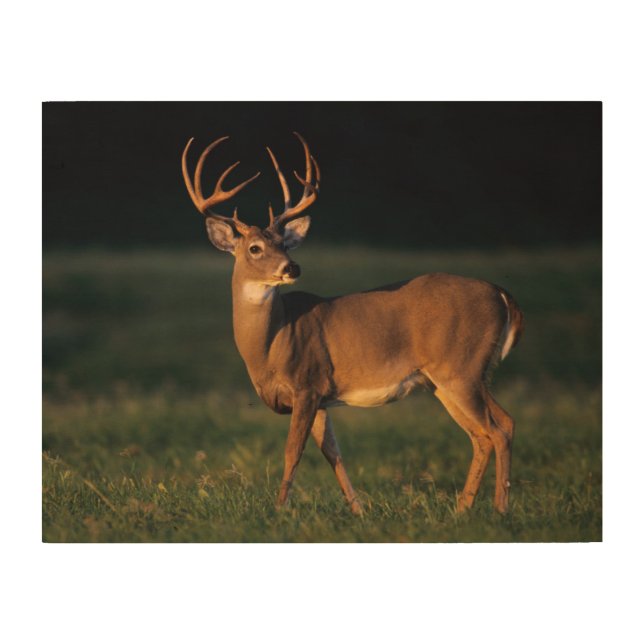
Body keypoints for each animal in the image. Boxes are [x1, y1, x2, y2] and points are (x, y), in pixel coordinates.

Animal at [181, 132, 524, 516]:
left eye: (284, 243)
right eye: (255, 248)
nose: (291, 267)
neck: (270, 344)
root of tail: (501, 294)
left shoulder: (307, 383)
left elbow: (293, 451)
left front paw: (280, 509)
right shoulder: (320, 396)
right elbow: (333, 453)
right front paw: (358, 509)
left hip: (461, 369)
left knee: (496, 429)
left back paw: (499, 508)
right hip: (452, 378)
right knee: (491, 430)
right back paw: (463, 509)